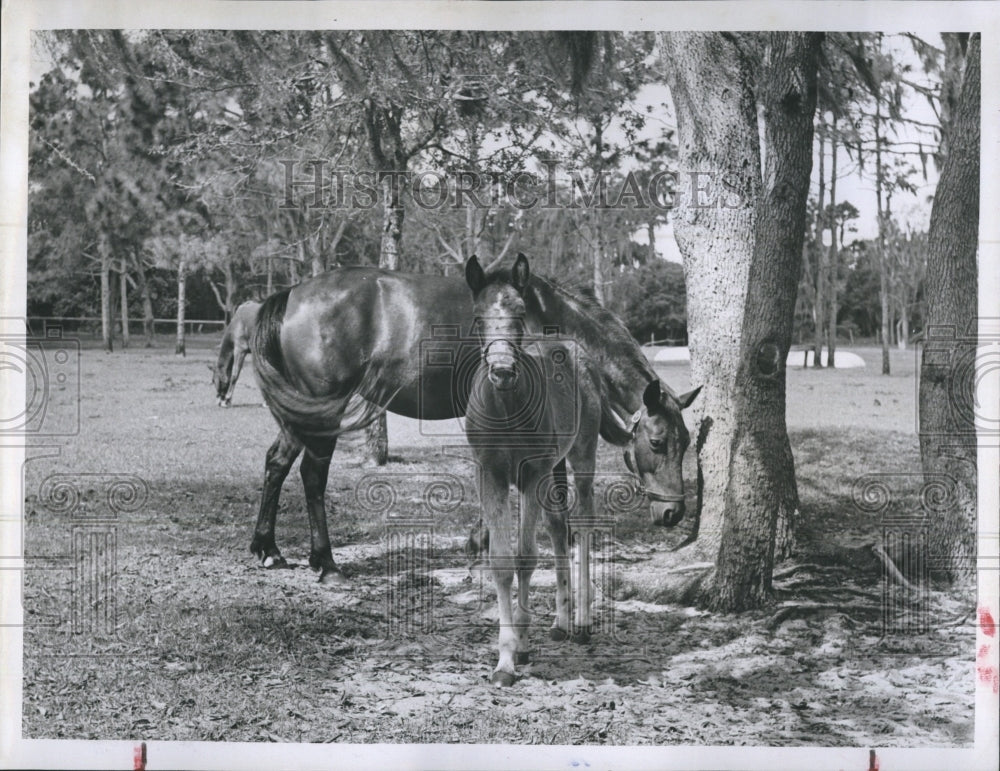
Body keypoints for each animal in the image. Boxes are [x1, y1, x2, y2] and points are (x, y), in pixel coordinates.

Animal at [462, 253, 600, 688]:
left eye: (521, 313)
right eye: (477, 317)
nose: (503, 371)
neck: (506, 411)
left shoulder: (531, 473)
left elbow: (524, 556)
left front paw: (518, 645)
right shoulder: (489, 475)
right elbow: (503, 562)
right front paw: (508, 656)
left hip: (580, 457)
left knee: (582, 524)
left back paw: (582, 623)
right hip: (554, 468)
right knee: (559, 527)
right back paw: (560, 621)